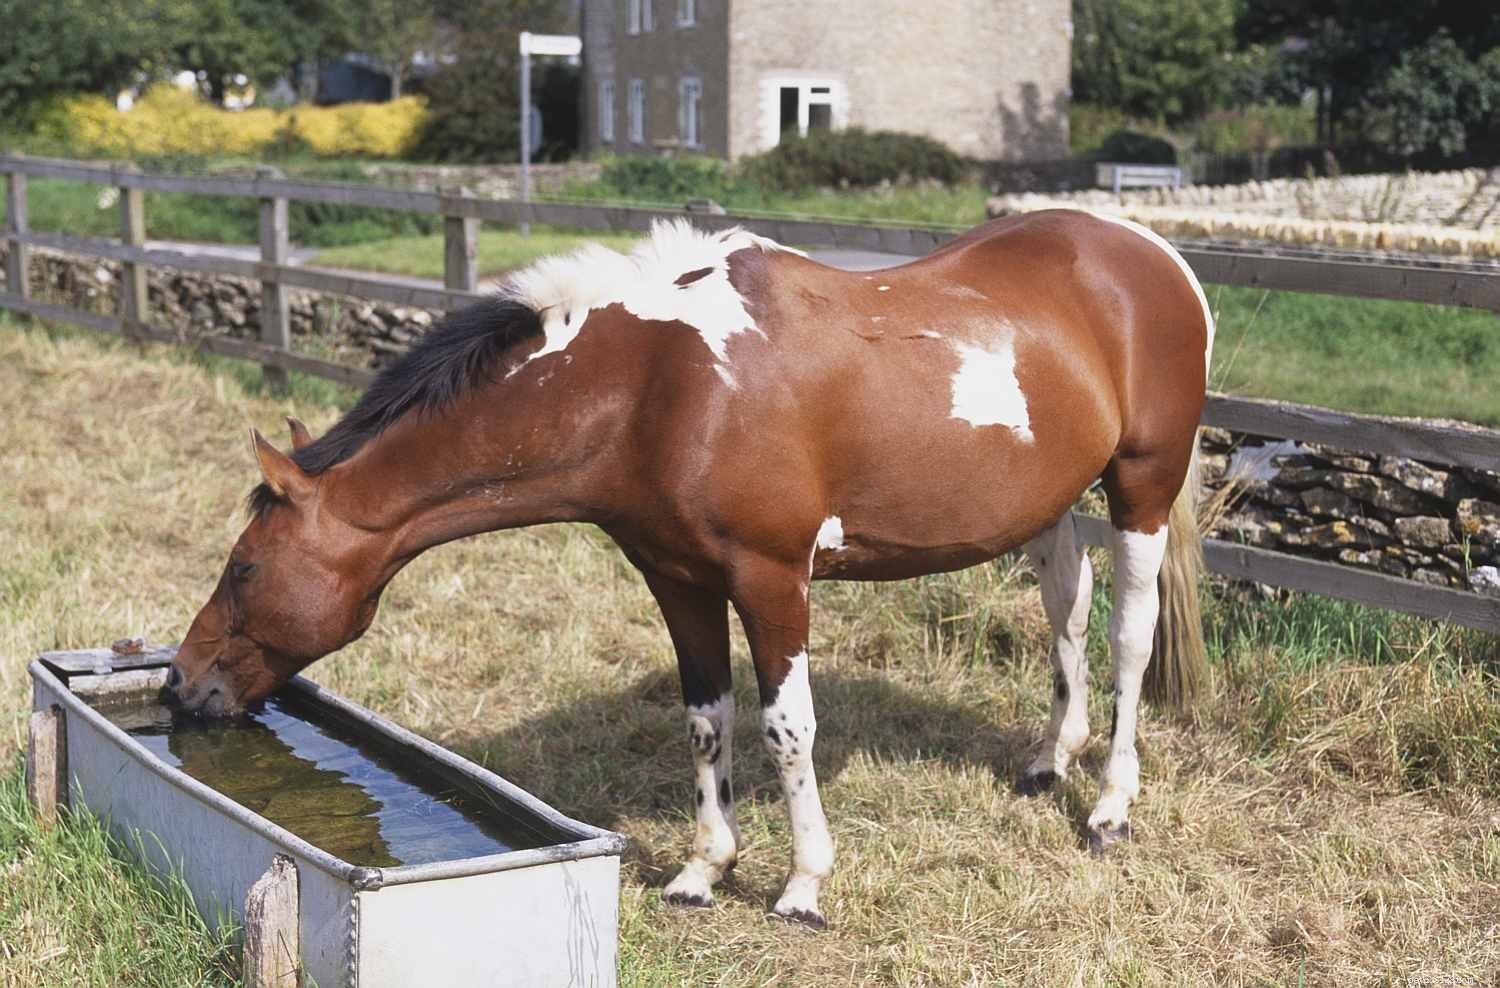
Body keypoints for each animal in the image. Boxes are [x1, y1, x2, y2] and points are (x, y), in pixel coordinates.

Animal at [168, 210, 1213, 929]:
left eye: (246, 567)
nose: (184, 684)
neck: (655, 386)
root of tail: (1153, 256)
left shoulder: (772, 579)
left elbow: (787, 729)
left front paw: (802, 886)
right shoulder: (677, 579)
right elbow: (708, 721)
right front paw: (703, 870)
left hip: (1141, 485)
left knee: (1127, 636)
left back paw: (1109, 806)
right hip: (1047, 504)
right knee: (1066, 605)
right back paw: (1047, 759)